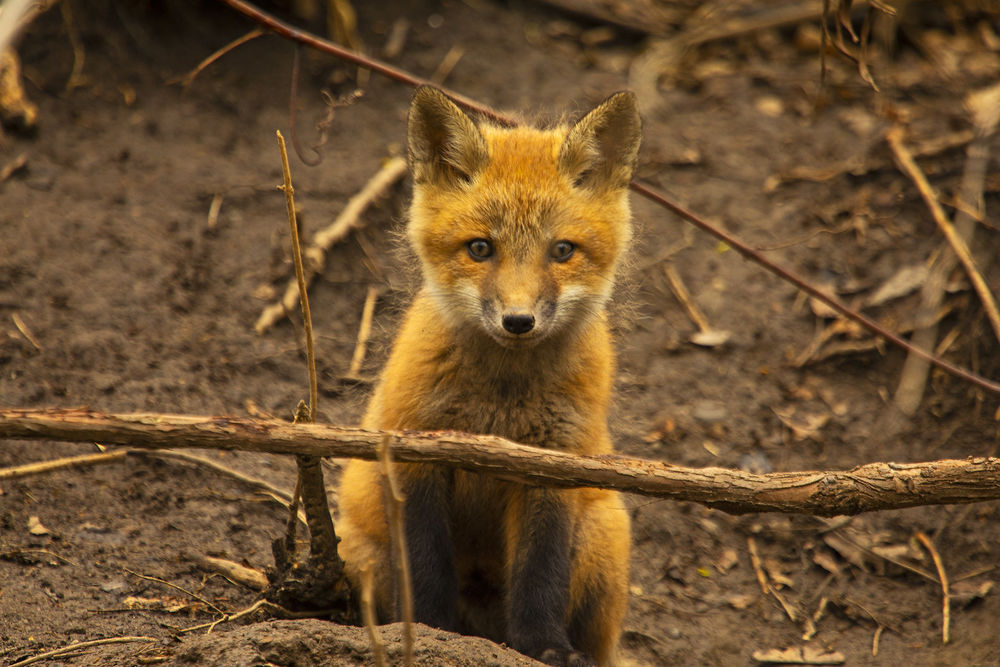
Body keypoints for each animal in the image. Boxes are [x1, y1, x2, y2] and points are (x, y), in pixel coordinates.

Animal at [338, 87, 640, 667]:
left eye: (562, 251)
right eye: (480, 248)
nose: (518, 321)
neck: (500, 402)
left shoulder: (553, 464)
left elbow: (539, 573)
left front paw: (544, 647)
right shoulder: (416, 451)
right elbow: (424, 568)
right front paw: (431, 633)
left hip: (602, 535)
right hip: (362, 549)